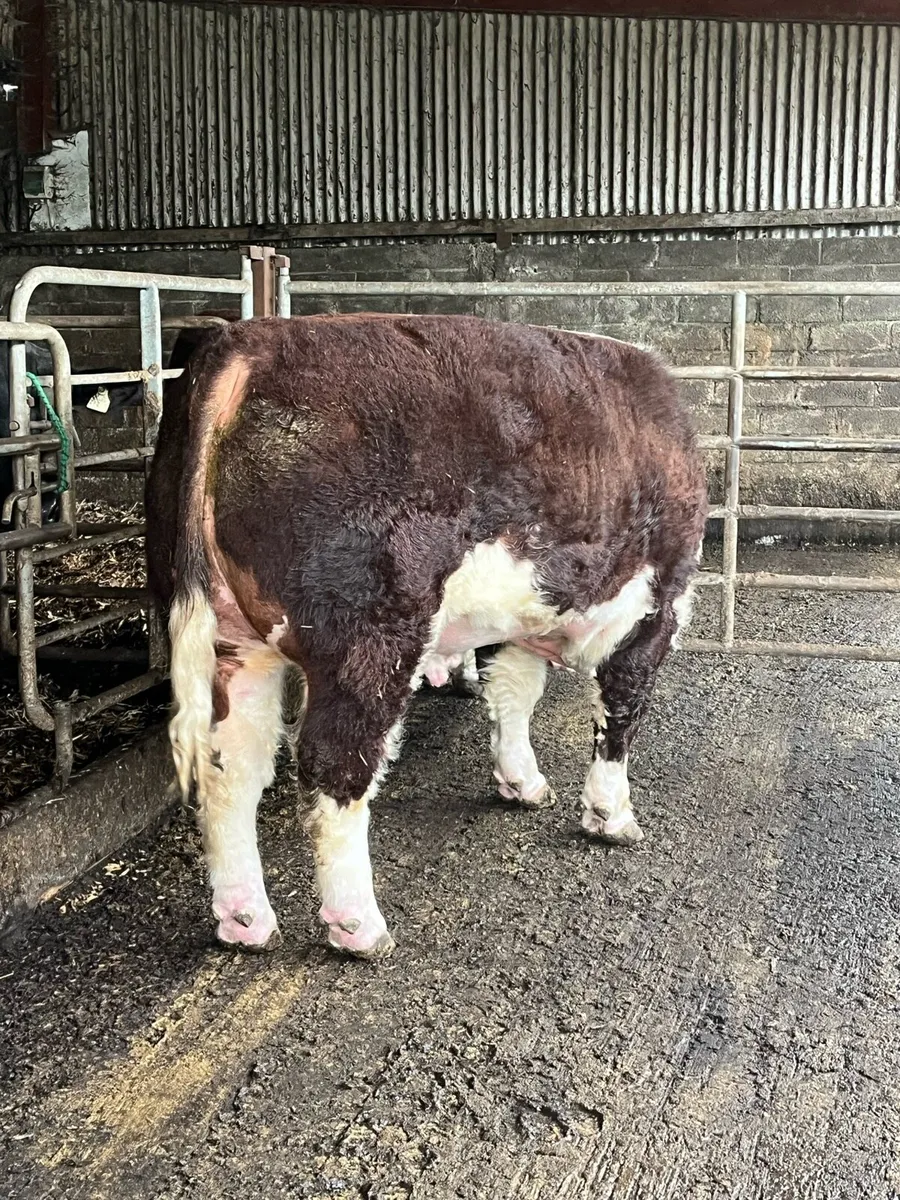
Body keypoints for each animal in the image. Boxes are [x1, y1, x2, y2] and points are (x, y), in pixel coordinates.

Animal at [145, 314, 707, 959]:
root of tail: (246, 340)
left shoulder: (519, 615)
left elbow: (513, 695)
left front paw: (522, 781)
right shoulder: (659, 603)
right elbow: (620, 714)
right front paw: (610, 815)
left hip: (230, 639)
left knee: (231, 767)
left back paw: (246, 921)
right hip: (370, 634)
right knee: (335, 766)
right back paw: (358, 927)